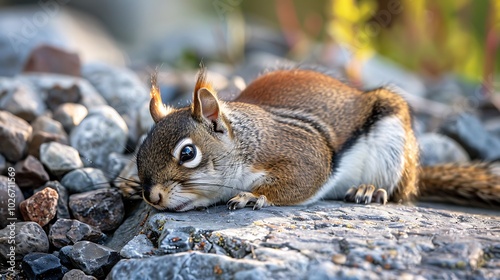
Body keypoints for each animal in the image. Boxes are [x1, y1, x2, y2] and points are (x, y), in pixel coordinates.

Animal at [133, 64, 500, 211]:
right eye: (137, 154)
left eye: (187, 154)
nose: (152, 197)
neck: (247, 140)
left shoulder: (301, 152)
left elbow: (302, 178)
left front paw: (254, 196)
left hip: (393, 147)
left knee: (399, 192)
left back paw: (370, 189)